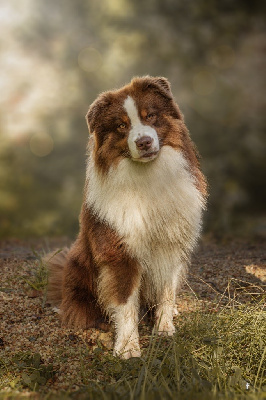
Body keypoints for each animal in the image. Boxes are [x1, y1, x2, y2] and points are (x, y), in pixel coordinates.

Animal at [46, 76, 207, 360]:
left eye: (150, 115)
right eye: (122, 125)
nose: (143, 142)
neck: (148, 177)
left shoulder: (171, 244)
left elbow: (165, 291)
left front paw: (164, 328)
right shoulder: (119, 251)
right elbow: (125, 302)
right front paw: (128, 347)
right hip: (78, 267)